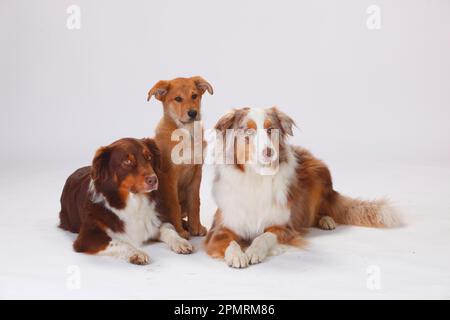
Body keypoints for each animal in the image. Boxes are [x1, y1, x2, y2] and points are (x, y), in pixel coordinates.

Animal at [58, 138, 192, 264]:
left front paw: (180, 241)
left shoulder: (158, 218)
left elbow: (169, 229)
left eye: (149, 157)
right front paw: (136, 253)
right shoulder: (87, 236)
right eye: (127, 162)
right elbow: (118, 242)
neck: (134, 203)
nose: (153, 180)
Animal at [146, 76, 213, 239]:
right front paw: (179, 232)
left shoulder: (197, 173)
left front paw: (196, 228)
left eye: (194, 96)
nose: (193, 113)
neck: (186, 134)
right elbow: (173, 205)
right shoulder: (169, 176)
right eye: (177, 99)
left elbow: (195, 203)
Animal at [206, 107, 400, 268]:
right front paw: (237, 255)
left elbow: (264, 237)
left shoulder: (284, 227)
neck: (256, 178)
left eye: (271, 130)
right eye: (248, 131)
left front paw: (253, 250)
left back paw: (326, 220)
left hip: (318, 172)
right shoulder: (219, 229)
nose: (269, 152)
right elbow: (230, 242)